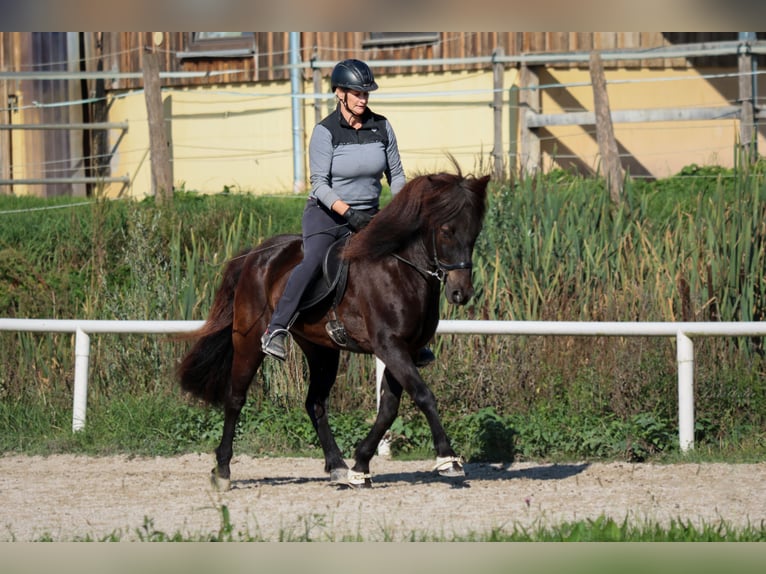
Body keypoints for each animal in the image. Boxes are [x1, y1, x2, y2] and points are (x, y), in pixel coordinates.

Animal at [178, 165, 492, 490]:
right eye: (446, 231)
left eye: (474, 232)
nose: (461, 293)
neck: (400, 269)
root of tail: (256, 254)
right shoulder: (389, 346)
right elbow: (423, 395)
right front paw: (448, 460)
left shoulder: (403, 349)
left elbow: (388, 409)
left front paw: (360, 467)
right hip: (249, 339)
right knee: (236, 398)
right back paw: (222, 471)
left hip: (322, 351)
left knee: (315, 403)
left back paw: (338, 466)